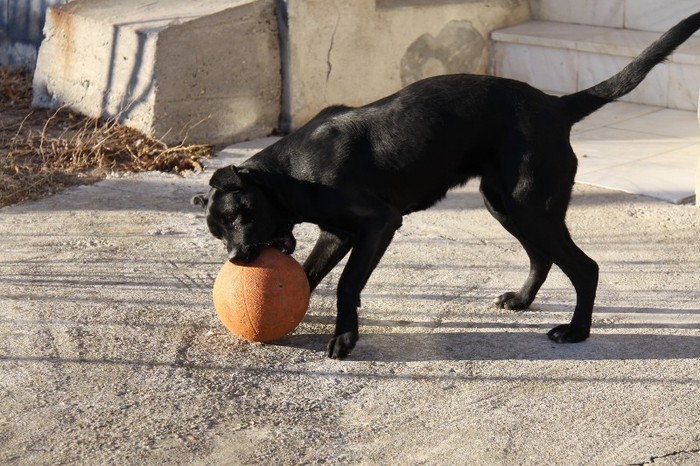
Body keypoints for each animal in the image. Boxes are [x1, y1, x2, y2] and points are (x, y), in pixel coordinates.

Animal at [194, 11, 700, 360]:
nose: (236, 259)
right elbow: (309, 274)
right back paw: (522, 300)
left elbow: (346, 283)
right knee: (542, 257)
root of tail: (556, 107)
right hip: (506, 206)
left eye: (239, 215)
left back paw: (576, 331)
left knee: (585, 267)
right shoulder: (337, 234)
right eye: (218, 233)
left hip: (532, 207)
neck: (290, 173)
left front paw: (345, 337)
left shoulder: (380, 224)